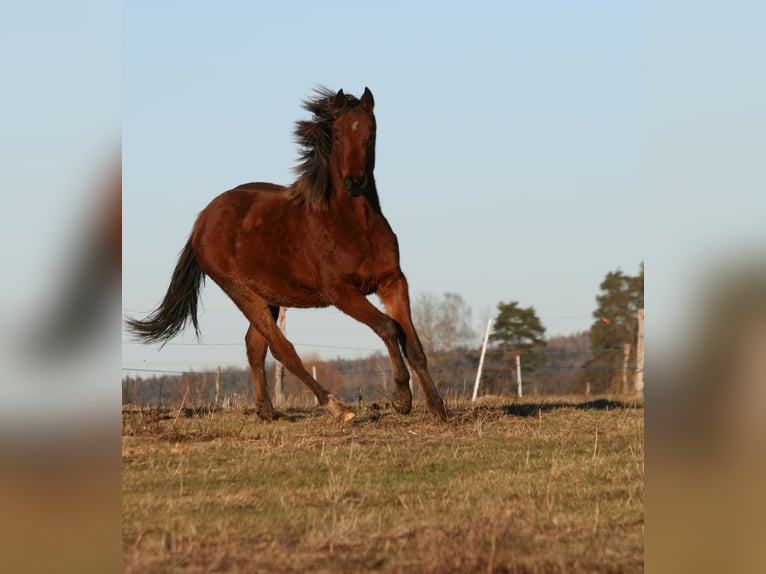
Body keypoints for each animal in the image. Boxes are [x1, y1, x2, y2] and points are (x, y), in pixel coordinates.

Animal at [124, 88, 450, 426]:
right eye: (337, 135)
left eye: (371, 134)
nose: (355, 182)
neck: (355, 226)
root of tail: (203, 218)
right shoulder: (340, 291)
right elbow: (388, 327)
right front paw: (401, 398)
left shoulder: (393, 281)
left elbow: (413, 344)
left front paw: (438, 408)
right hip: (240, 291)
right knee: (282, 349)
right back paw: (338, 407)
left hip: (267, 295)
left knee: (255, 346)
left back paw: (269, 412)